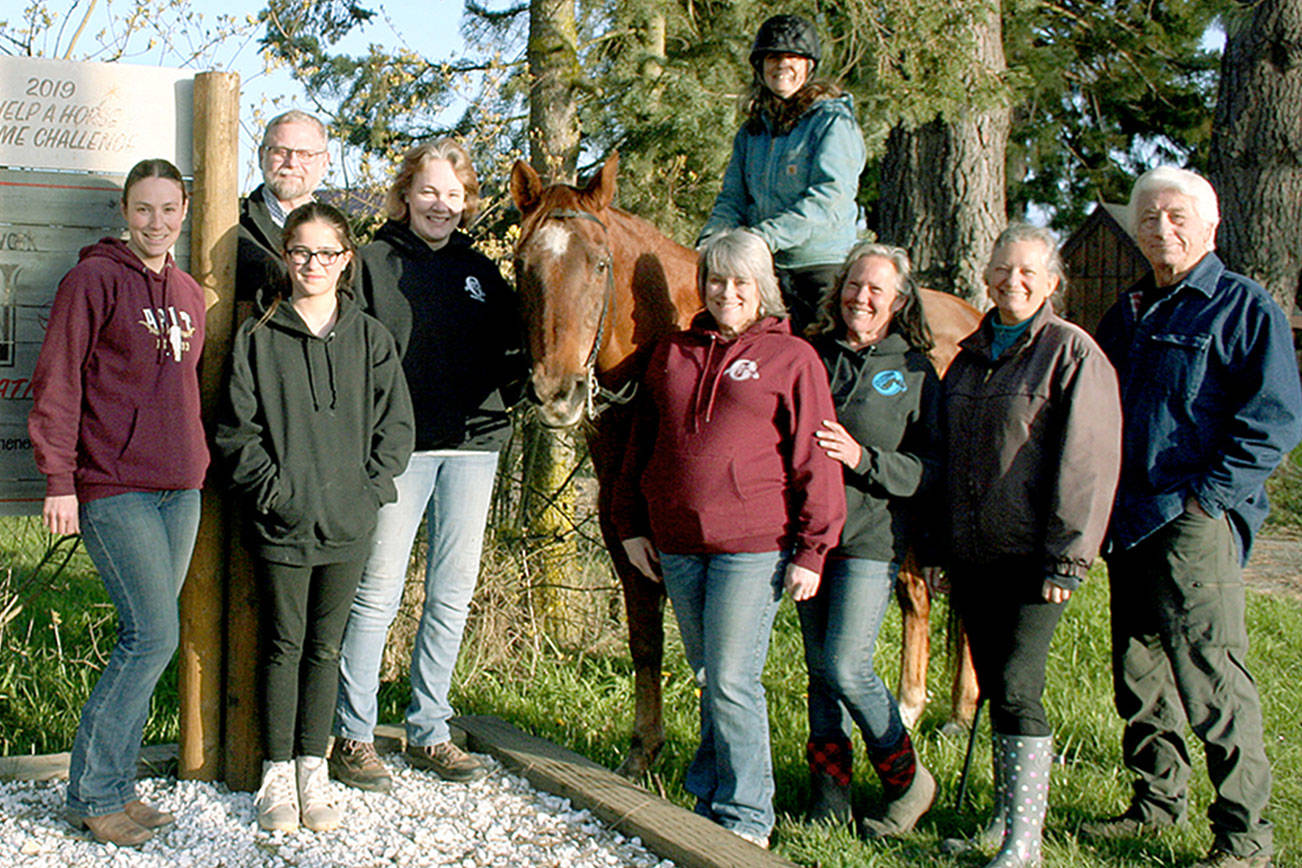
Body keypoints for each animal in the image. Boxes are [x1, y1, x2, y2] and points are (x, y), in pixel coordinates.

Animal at [512, 152, 979, 775]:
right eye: (523, 266)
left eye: (601, 264)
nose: (555, 394)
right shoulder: (629, 539)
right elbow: (647, 641)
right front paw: (644, 752)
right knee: (922, 599)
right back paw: (935, 710)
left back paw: (934, 711)